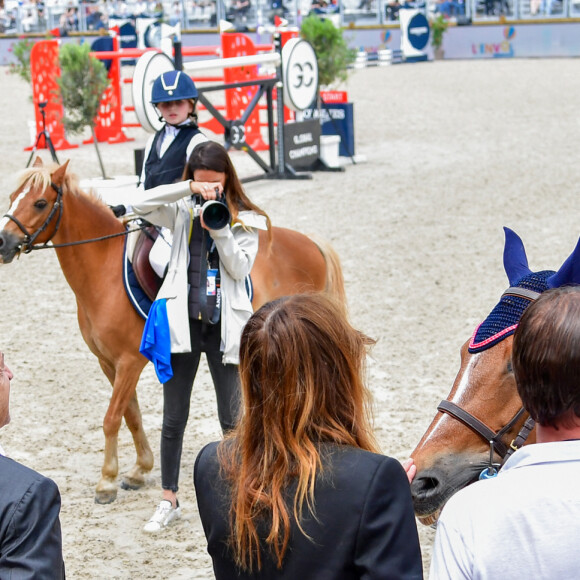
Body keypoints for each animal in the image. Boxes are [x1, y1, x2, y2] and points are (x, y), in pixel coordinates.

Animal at [0, 160, 344, 502]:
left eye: (40, 203)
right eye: (12, 197)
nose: (2, 242)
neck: (103, 271)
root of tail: (310, 242)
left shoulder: (129, 362)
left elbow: (111, 418)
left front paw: (106, 481)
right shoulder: (108, 362)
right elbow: (131, 415)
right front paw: (139, 470)